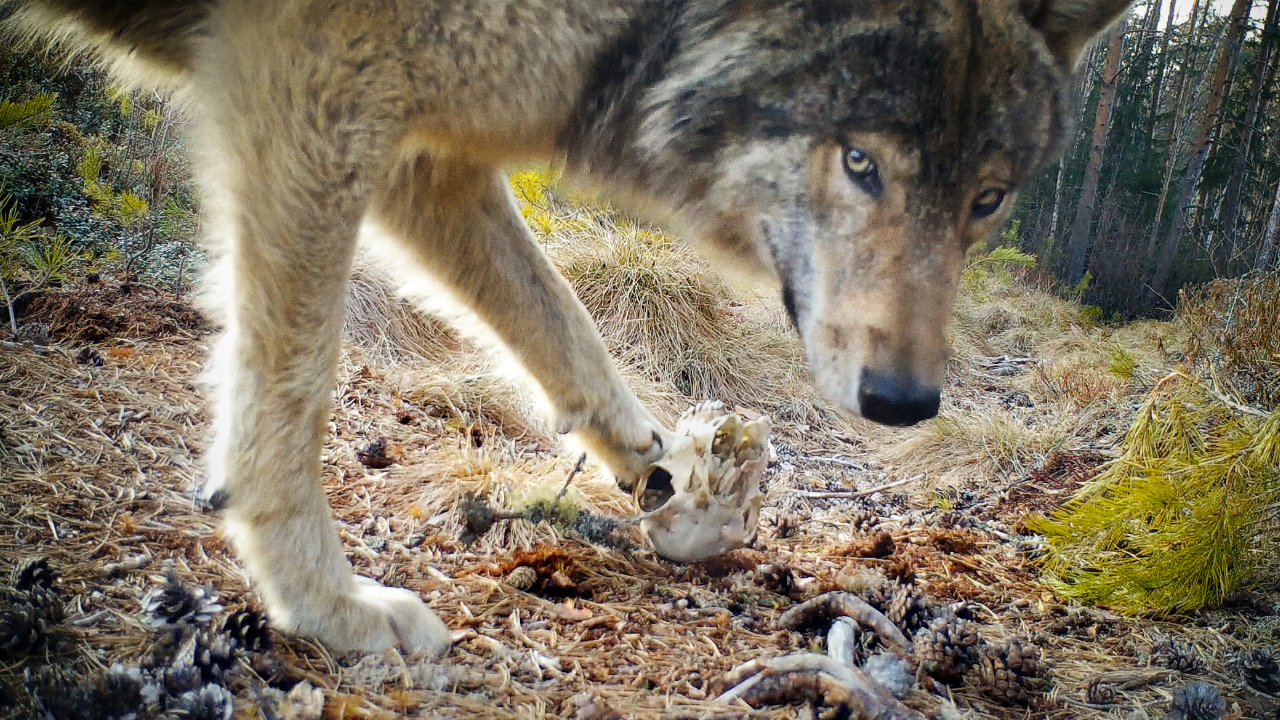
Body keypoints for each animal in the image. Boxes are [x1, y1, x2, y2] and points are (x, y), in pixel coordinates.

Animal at [5, 0, 1130, 655]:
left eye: (986, 199)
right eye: (861, 163)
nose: (903, 405)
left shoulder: (426, 152)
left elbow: (563, 322)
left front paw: (653, 462)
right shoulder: (314, 83)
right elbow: (288, 394)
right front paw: (327, 608)